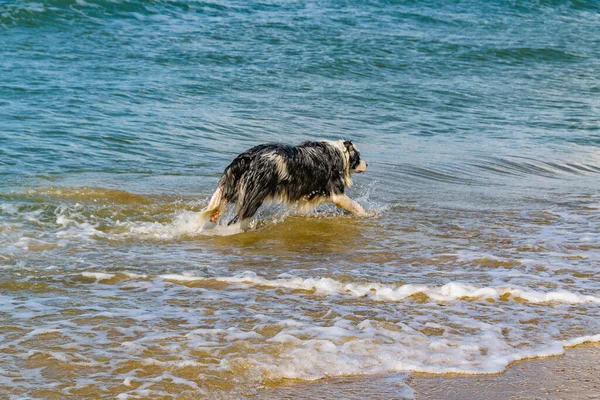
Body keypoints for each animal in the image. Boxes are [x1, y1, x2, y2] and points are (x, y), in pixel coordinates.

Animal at [198, 138, 366, 227]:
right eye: (358, 156)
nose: (367, 164)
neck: (340, 153)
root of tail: (247, 158)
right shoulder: (336, 193)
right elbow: (356, 205)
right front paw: (367, 214)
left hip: (235, 187)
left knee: (221, 202)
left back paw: (215, 215)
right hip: (253, 197)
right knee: (237, 219)